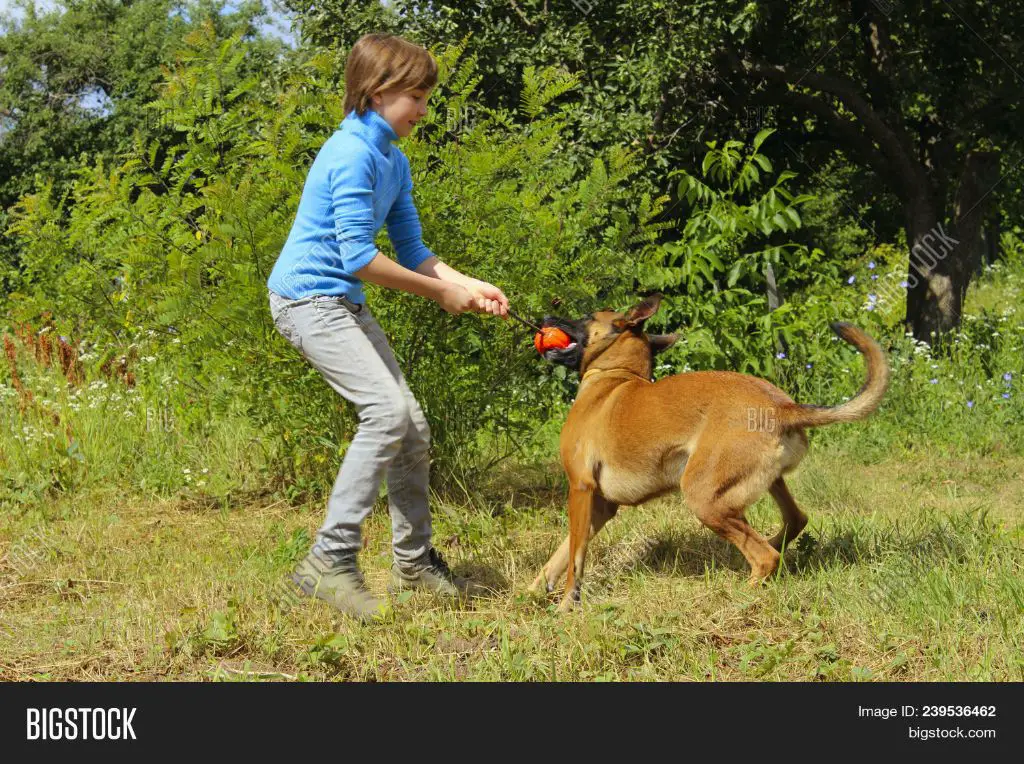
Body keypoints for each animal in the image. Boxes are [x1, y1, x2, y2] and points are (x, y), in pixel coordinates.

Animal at [528, 290, 888, 606]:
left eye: (588, 317)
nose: (544, 317)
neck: (614, 375)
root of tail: (783, 407)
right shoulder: (601, 506)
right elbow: (560, 554)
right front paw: (533, 591)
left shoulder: (581, 488)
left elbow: (575, 557)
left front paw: (566, 605)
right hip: (760, 484)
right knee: (793, 521)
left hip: (703, 497)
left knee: (765, 557)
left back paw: (742, 592)